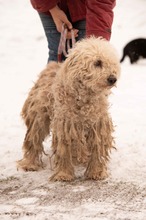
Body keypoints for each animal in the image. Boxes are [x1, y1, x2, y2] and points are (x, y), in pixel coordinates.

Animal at [17, 36, 120, 180]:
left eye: (112, 63)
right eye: (98, 62)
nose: (113, 78)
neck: (84, 97)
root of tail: (51, 66)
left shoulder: (97, 124)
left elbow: (97, 147)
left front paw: (96, 172)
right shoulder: (65, 124)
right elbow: (64, 149)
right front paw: (64, 174)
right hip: (39, 117)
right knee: (33, 139)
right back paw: (29, 164)